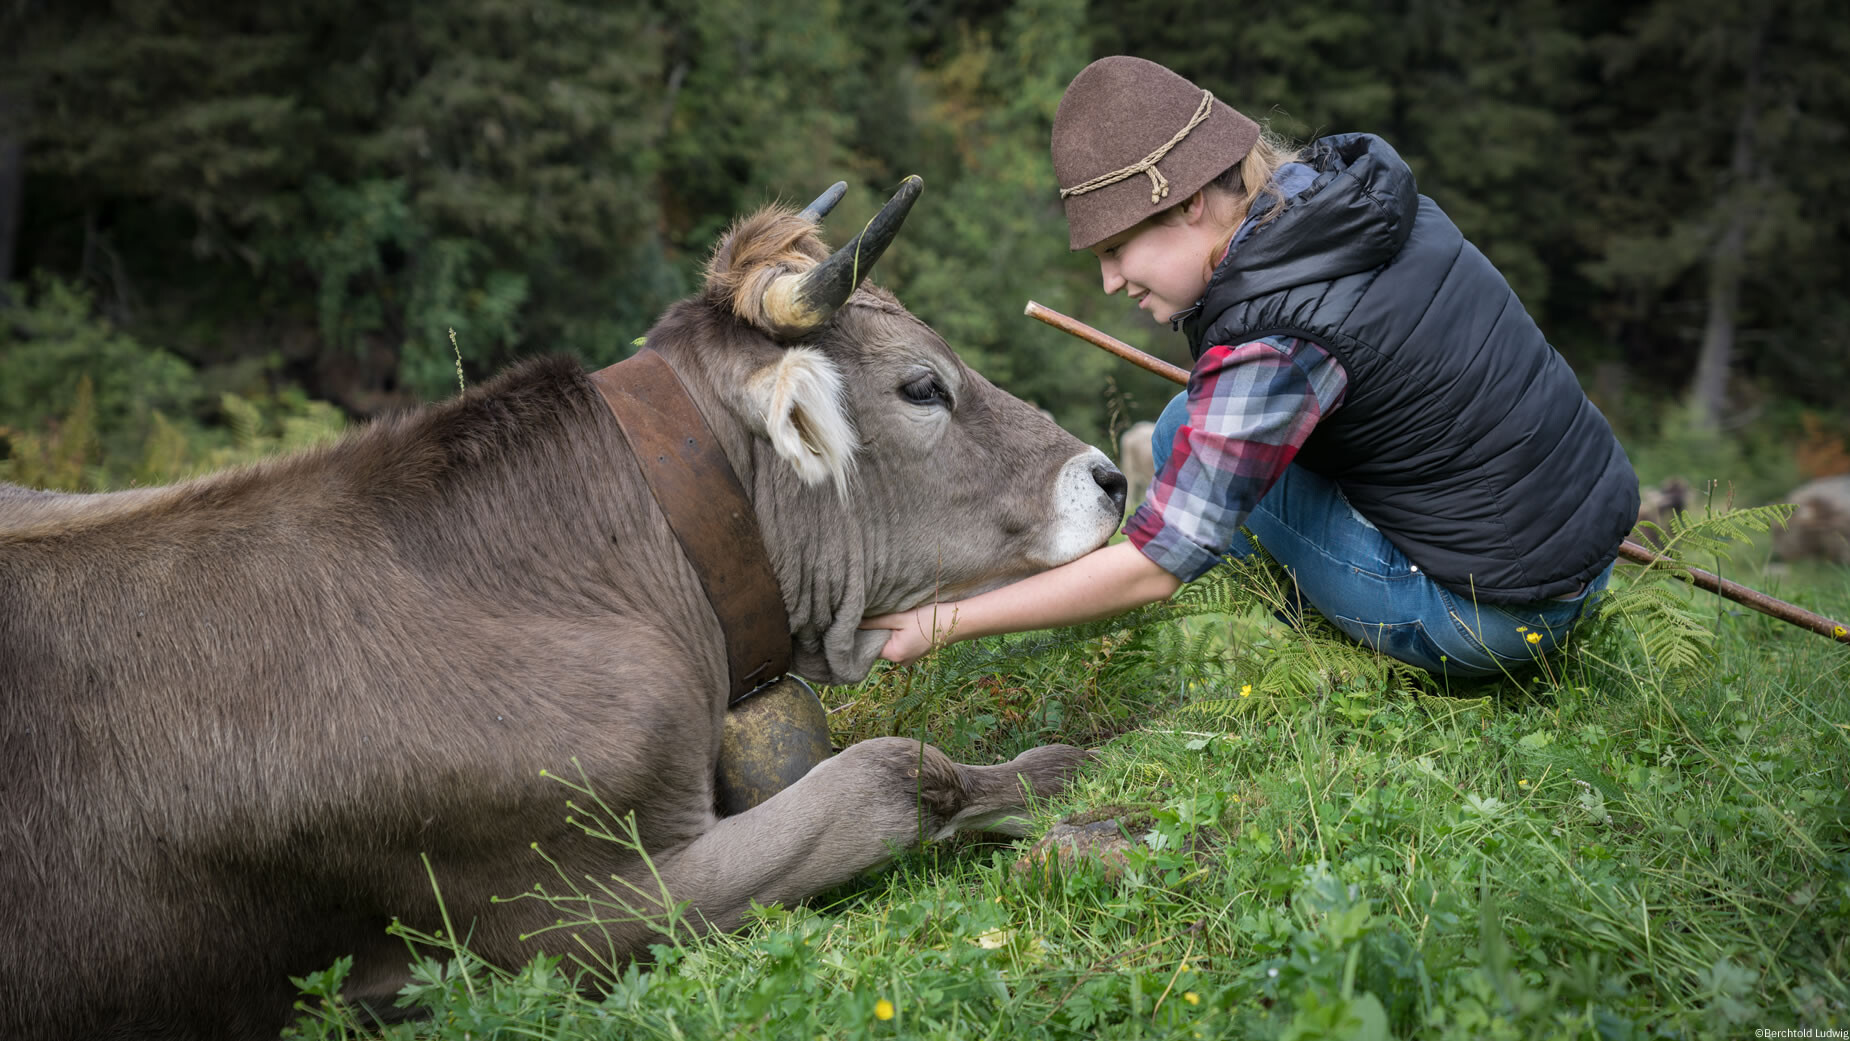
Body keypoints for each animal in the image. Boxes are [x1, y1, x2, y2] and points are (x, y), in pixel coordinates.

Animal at [0, 179, 1127, 1040]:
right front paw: (1078, 804)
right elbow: (897, 773)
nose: (1110, 476)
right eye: (922, 388)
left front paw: (1063, 774)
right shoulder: (552, 919)